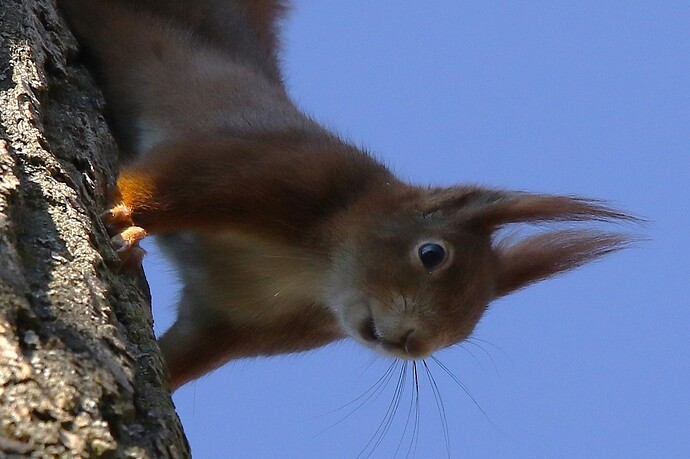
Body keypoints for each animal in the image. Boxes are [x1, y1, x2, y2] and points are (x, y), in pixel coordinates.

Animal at [56, 1, 632, 394]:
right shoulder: (274, 172)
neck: (315, 274)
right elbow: (175, 183)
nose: (412, 344)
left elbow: (180, 357)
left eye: (467, 330)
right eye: (431, 254)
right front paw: (128, 216)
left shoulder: (233, 322)